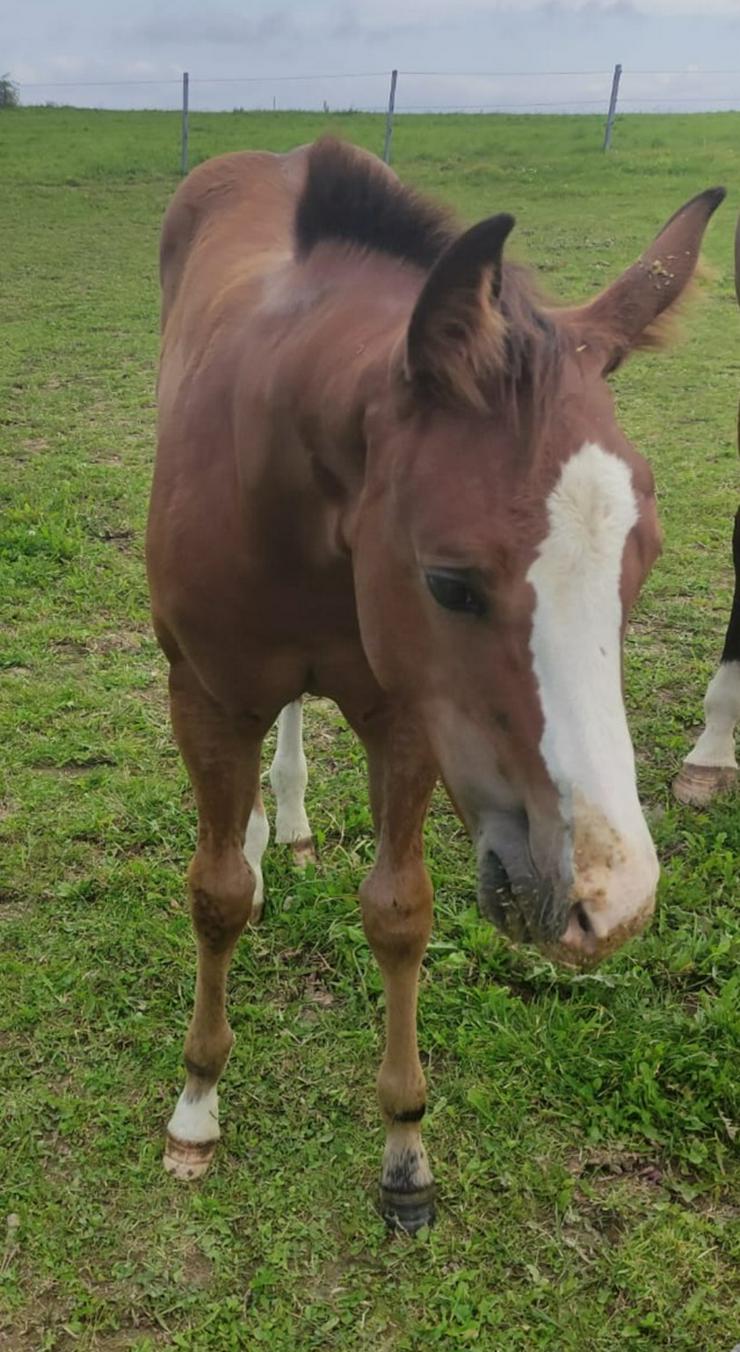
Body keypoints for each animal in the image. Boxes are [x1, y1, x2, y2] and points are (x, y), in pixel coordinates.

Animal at [147, 139, 725, 1238]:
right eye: (451, 582)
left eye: (644, 563)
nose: (613, 903)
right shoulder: (202, 694)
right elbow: (215, 895)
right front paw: (196, 1104)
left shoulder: (405, 717)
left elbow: (399, 911)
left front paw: (404, 1149)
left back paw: (286, 820)